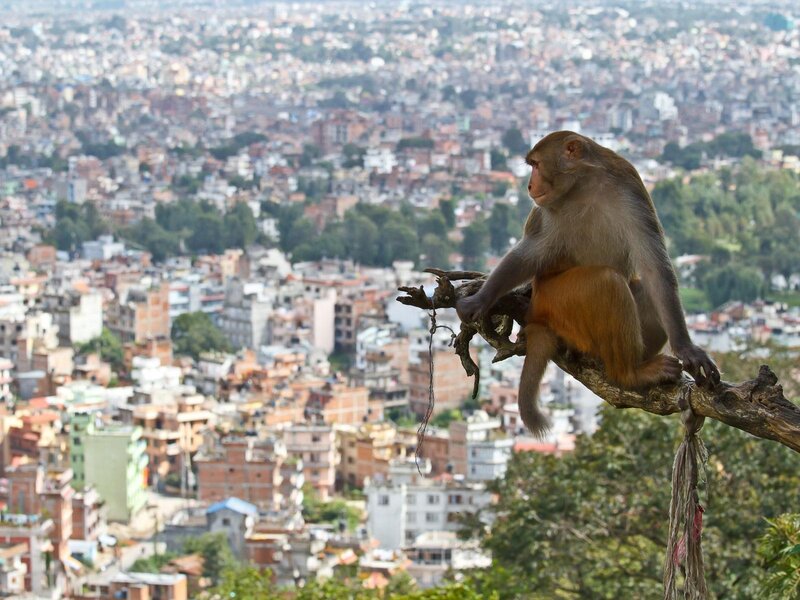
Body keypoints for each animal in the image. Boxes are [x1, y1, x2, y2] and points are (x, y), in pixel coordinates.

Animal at [456, 131, 720, 437]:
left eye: (536, 164)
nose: (530, 185)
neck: (584, 186)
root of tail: (538, 314)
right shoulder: (548, 210)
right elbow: (529, 255)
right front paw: (481, 299)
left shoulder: (629, 189)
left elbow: (655, 269)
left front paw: (687, 348)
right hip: (559, 303)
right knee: (607, 283)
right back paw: (629, 374)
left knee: (642, 288)